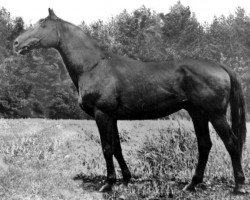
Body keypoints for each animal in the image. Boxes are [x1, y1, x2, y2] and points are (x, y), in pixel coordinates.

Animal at [14, 8, 247, 194]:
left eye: (43, 24)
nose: (16, 43)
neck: (93, 66)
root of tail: (219, 66)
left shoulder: (102, 114)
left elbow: (107, 148)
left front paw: (108, 184)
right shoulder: (113, 117)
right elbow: (117, 147)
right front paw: (126, 179)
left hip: (215, 115)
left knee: (232, 143)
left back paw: (239, 186)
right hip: (198, 114)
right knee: (205, 145)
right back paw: (192, 185)